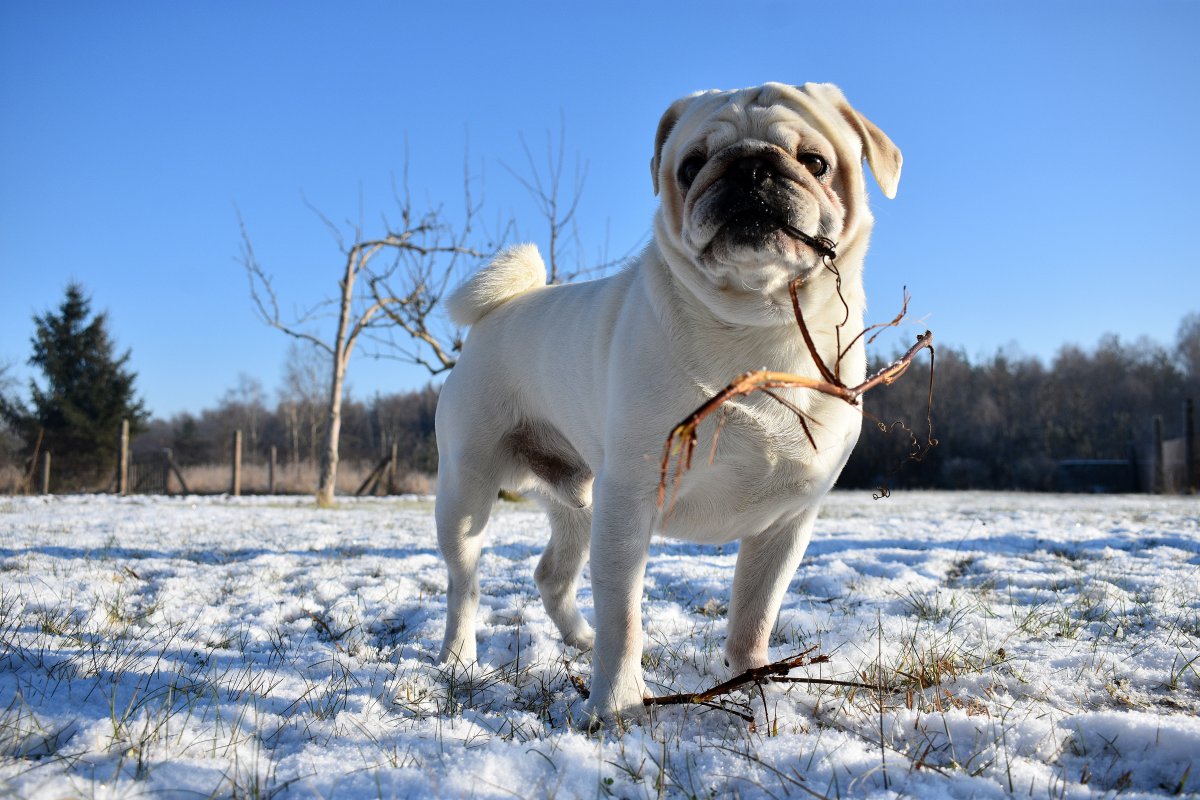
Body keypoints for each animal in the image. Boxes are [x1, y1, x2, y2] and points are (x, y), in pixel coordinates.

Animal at [436, 81, 897, 719]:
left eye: (816, 162)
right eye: (692, 165)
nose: (749, 165)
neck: (757, 325)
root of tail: (498, 311)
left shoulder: (787, 523)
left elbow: (754, 612)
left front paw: (754, 681)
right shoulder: (630, 503)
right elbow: (624, 616)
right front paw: (616, 703)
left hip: (580, 505)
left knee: (552, 576)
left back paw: (580, 640)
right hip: (469, 493)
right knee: (466, 585)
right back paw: (460, 658)